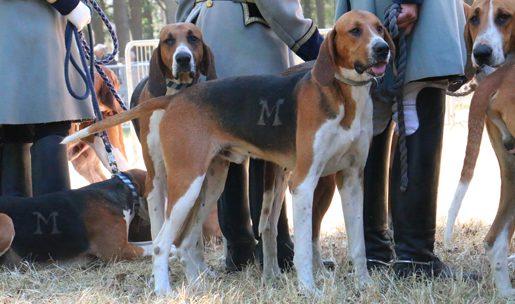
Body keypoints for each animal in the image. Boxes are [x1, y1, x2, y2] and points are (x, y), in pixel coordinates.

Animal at [64, 11, 396, 294]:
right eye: (355, 31)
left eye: (380, 28)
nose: (382, 49)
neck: (344, 97)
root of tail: (175, 99)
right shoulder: (303, 183)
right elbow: (303, 247)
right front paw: (309, 290)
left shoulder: (352, 179)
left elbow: (358, 243)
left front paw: (365, 285)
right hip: (184, 184)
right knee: (160, 243)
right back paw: (164, 291)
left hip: (210, 184)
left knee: (186, 242)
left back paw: (196, 287)